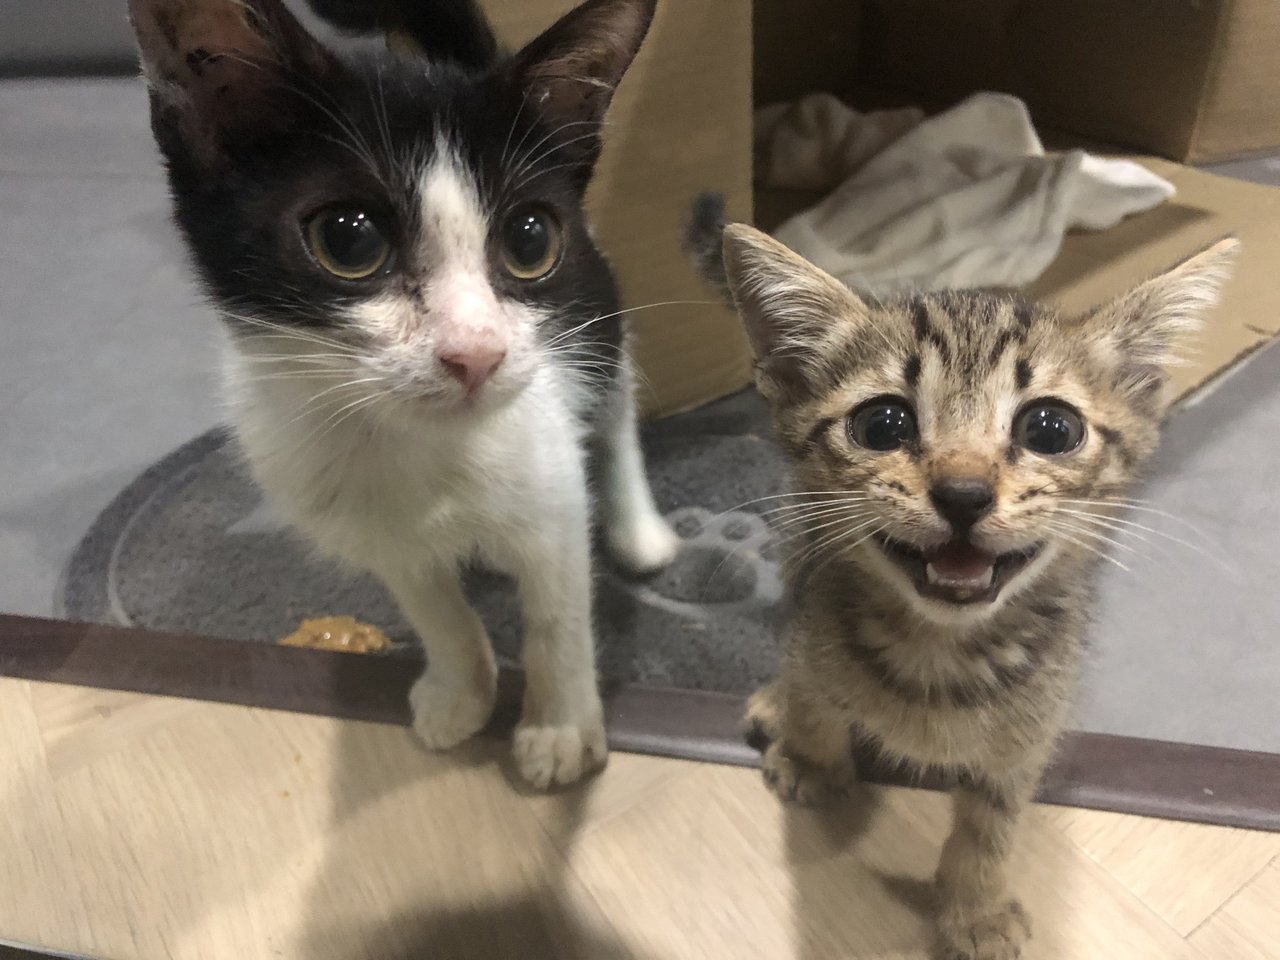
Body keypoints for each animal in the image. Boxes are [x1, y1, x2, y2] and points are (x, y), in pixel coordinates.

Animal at [129, 0, 680, 788]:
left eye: (531, 240)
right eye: (348, 240)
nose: (476, 353)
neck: (420, 445)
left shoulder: (551, 485)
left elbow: (558, 614)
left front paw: (560, 727)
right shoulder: (374, 532)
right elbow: (433, 609)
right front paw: (461, 693)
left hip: (597, 318)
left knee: (616, 411)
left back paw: (639, 530)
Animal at [696, 204, 1233, 960]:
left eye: (1051, 428)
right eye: (882, 423)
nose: (963, 492)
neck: (937, 653)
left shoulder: (1025, 743)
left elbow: (990, 829)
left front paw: (976, 910)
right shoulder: (812, 613)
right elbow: (816, 696)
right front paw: (812, 754)